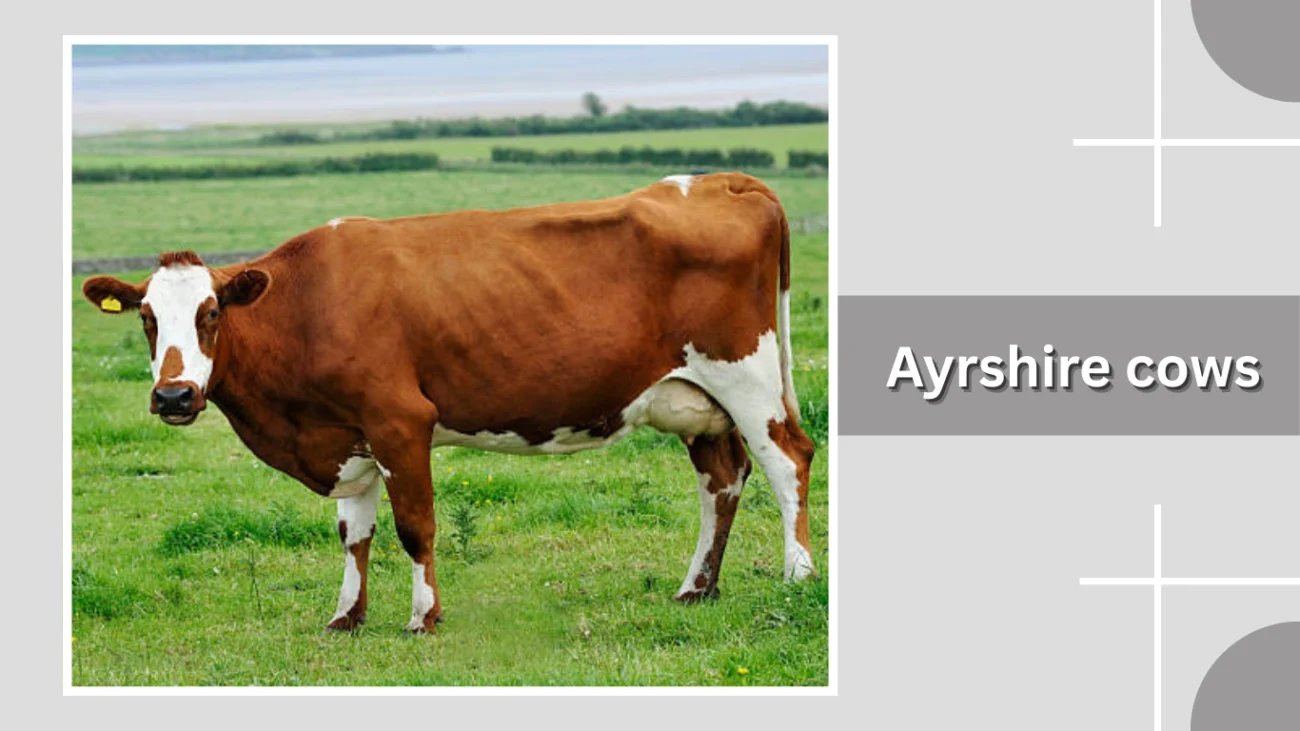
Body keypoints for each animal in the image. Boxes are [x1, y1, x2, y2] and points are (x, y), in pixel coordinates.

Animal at [81, 172, 818, 633]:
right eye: (146, 317)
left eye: (210, 313)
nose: (174, 395)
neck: (309, 307)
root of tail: (722, 180)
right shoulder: (349, 436)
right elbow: (355, 532)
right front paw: (347, 616)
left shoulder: (400, 421)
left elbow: (415, 526)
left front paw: (422, 616)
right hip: (695, 399)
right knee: (722, 480)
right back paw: (697, 587)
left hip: (746, 377)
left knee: (788, 461)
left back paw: (799, 573)